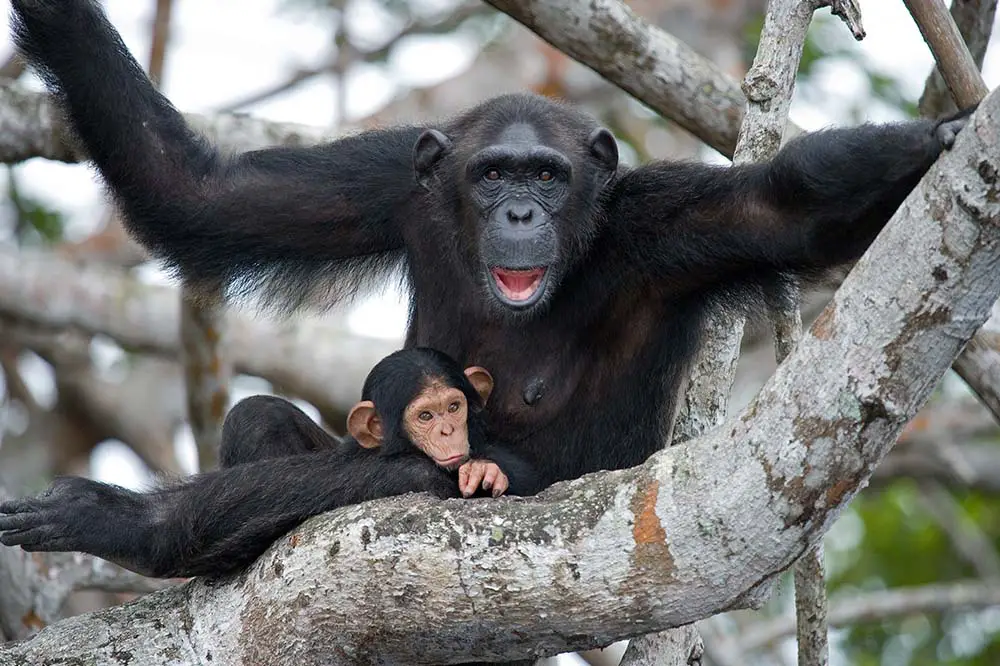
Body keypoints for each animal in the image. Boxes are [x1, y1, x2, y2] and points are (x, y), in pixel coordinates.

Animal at [0, 348, 540, 576]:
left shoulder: (417, 471)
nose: (449, 430)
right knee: (256, 413)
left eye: (455, 407)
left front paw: (105, 519)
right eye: (426, 415)